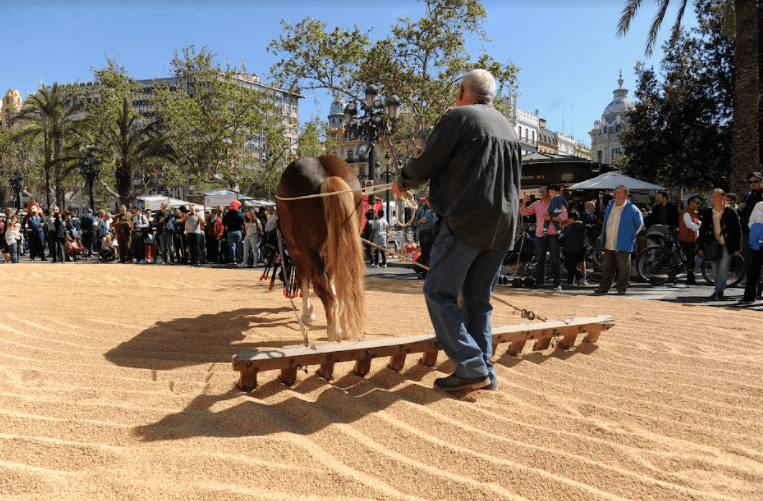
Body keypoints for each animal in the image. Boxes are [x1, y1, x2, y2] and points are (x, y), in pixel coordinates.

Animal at [278, 156, 368, 342]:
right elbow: (333, 281)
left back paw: (334, 331)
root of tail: (327, 177)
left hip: (307, 250)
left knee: (321, 288)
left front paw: (308, 313)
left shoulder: (296, 249)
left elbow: (303, 279)